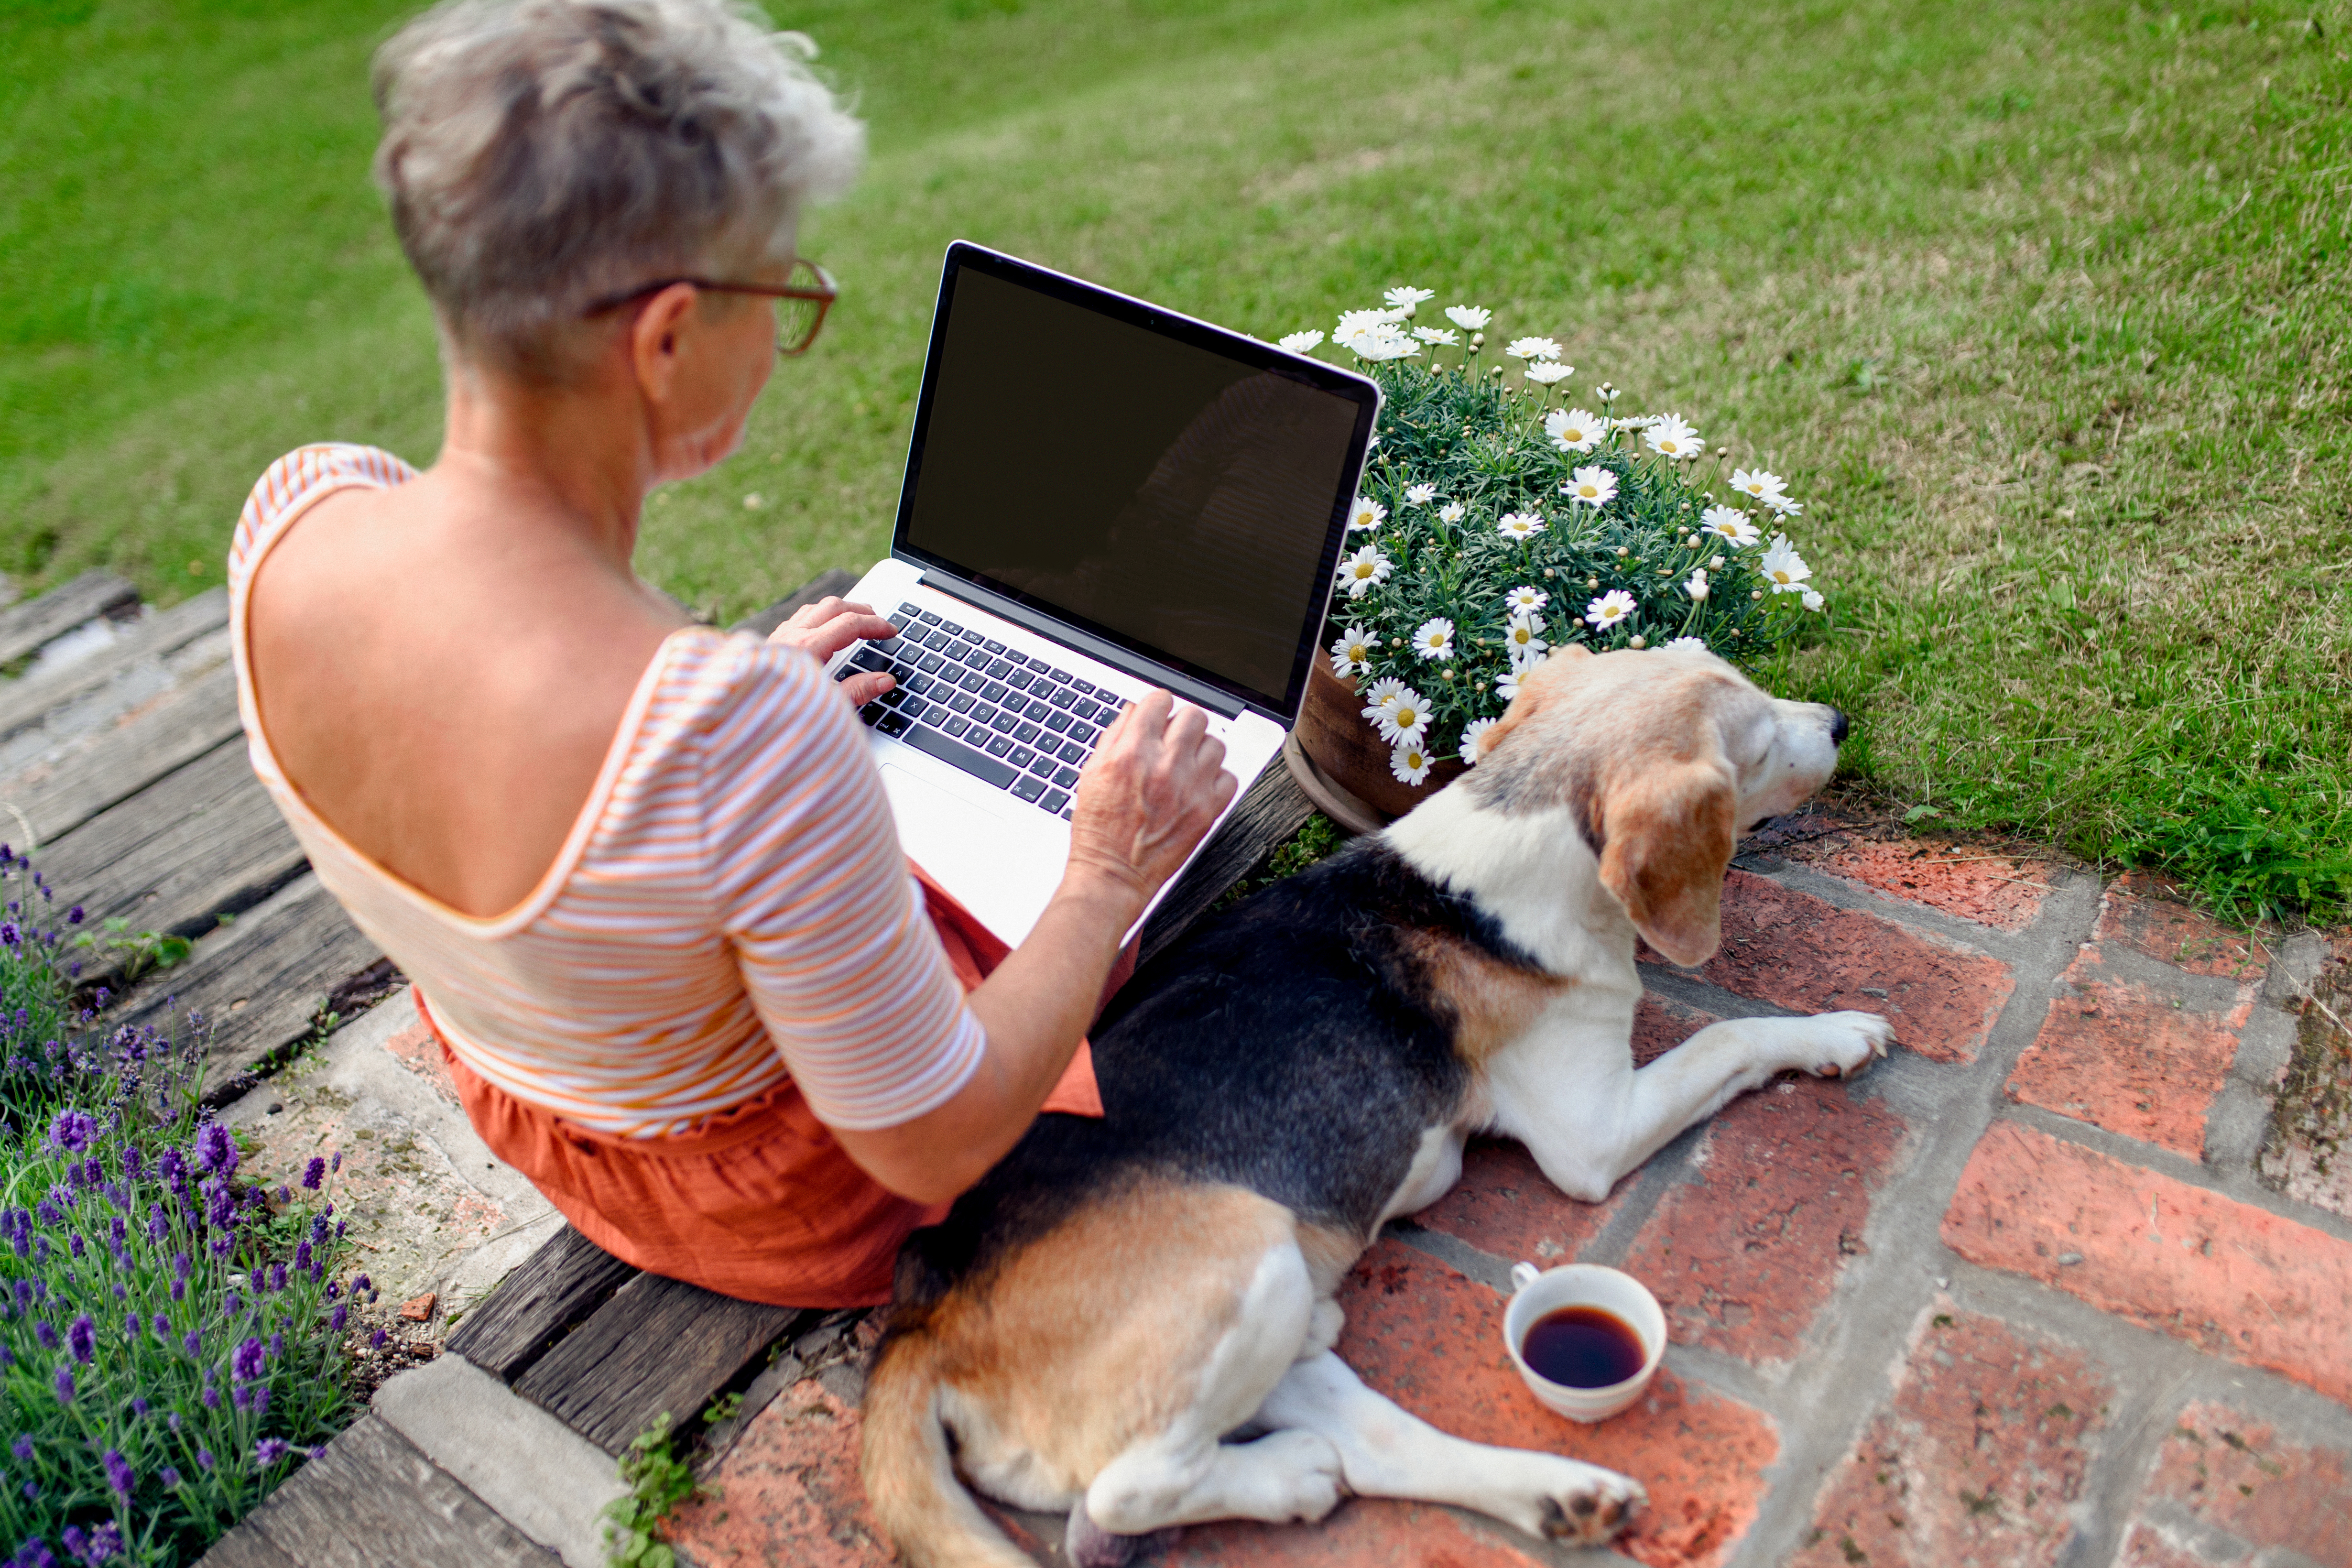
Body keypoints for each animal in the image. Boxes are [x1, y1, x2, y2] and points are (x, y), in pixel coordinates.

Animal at [865, 644, 1891, 1561]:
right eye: (1756, 743)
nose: (1840, 723)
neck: (1513, 844)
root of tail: (925, 1320)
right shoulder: (1591, 1137)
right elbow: (1730, 1037)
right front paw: (1835, 1032)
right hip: (1251, 1260)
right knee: (1123, 1497)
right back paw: (1287, 1479)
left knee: (1378, 1449)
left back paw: (1556, 1497)